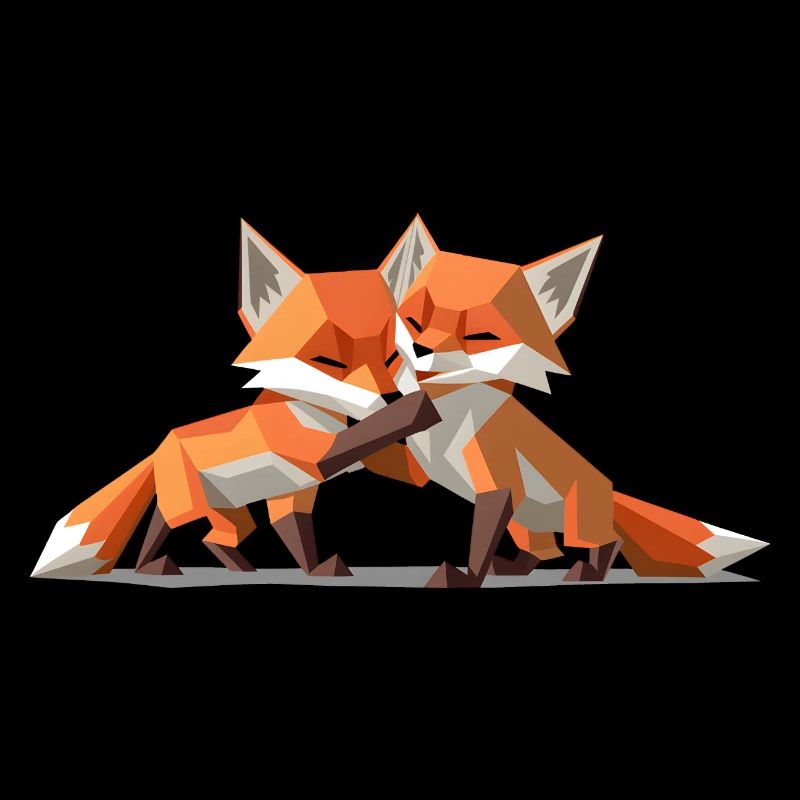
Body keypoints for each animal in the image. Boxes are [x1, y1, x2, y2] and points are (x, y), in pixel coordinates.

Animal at [31, 221, 438, 579]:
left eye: (392, 356)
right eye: (328, 361)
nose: (390, 396)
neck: (323, 418)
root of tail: (162, 445)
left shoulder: (297, 494)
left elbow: (302, 533)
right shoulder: (311, 455)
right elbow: (363, 437)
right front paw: (418, 408)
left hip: (235, 516)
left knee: (215, 539)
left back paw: (241, 567)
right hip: (187, 504)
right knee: (163, 526)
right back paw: (152, 566)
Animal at [375, 216, 767, 587]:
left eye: (480, 335)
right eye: (414, 320)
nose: (421, 348)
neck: (449, 424)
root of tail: (609, 489)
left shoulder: (498, 483)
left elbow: (479, 545)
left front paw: (464, 579)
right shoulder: (420, 469)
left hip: (577, 520)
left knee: (605, 543)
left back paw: (588, 573)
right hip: (525, 524)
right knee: (544, 552)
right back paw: (515, 568)